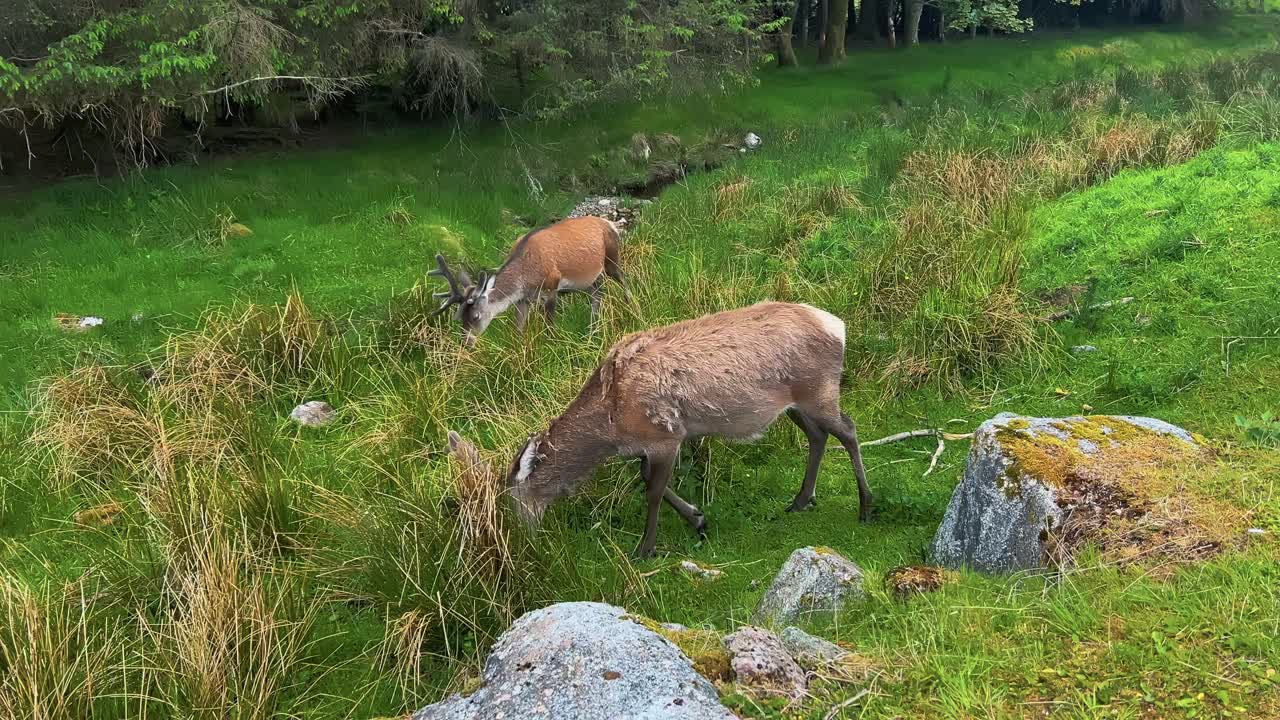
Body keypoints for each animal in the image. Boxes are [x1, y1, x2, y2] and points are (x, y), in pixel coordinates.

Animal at [430, 215, 630, 347]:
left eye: (476, 316)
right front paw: (519, 353)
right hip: (591, 279)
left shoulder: (552, 285)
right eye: (460, 317)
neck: (525, 276)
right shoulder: (522, 299)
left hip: (612, 257)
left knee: (624, 281)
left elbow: (550, 326)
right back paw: (593, 330)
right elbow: (518, 330)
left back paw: (631, 309)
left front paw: (553, 346)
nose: (466, 342)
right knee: (598, 293)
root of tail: (610, 223)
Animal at [471, 301, 872, 559]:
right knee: (818, 436)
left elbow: (651, 490)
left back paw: (866, 505)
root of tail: (838, 326)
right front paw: (698, 518)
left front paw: (645, 549)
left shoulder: (666, 435)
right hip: (794, 405)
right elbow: (649, 480)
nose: (518, 543)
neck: (612, 425)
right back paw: (801, 500)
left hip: (819, 390)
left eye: (512, 498)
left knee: (849, 430)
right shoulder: (649, 444)